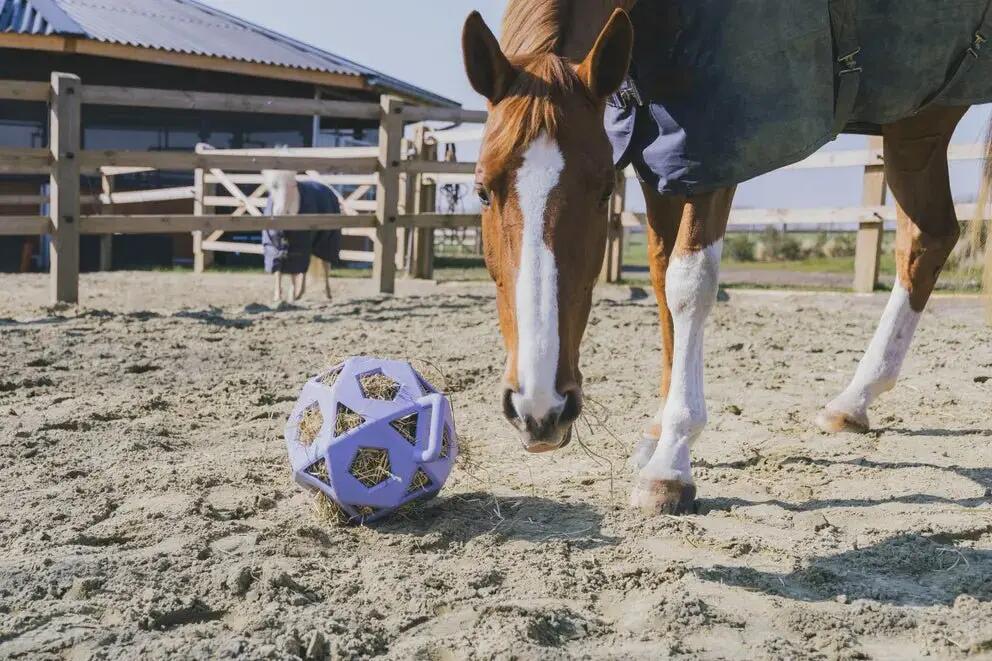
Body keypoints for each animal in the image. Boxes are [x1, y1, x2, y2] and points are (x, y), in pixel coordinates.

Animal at [461, 0, 992, 515]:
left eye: (604, 191)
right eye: (482, 190)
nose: (540, 412)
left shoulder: (714, 151)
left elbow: (689, 285)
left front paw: (671, 463)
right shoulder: (662, 160)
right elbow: (661, 278)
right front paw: (658, 433)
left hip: (921, 120)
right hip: (914, 123)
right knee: (929, 237)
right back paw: (853, 402)